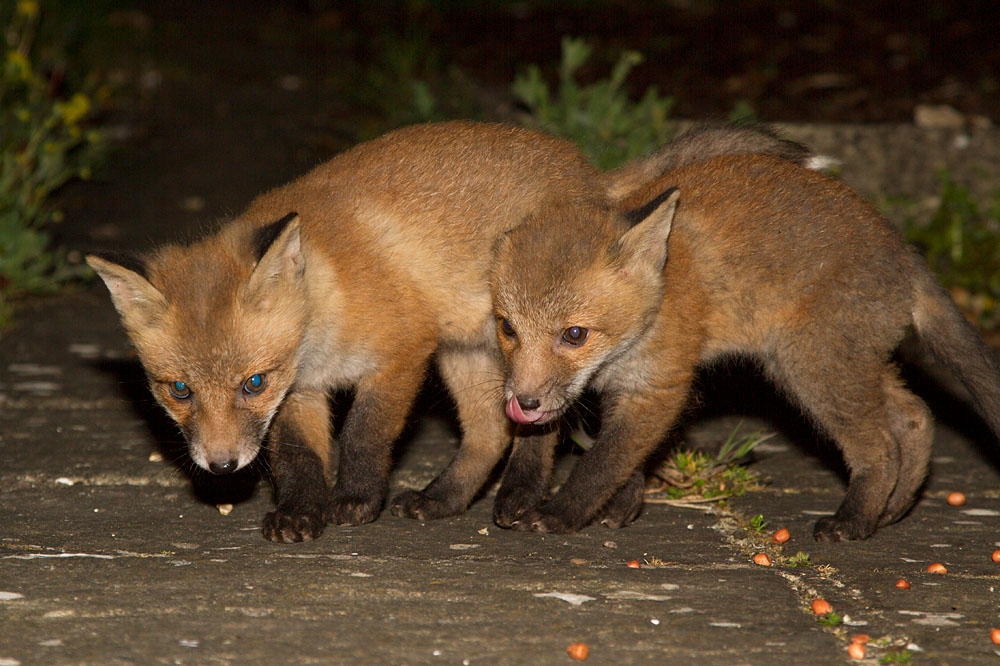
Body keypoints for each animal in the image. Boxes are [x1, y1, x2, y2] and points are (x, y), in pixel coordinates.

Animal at [86, 121, 816, 543]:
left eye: (250, 382)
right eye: (178, 390)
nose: (221, 465)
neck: (328, 298)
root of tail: (592, 180)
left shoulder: (400, 354)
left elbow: (365, 436)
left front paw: (355, 499)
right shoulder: (301, 392)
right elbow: (297, 458)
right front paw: (302, 511)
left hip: (513, 355)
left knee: (537, 430)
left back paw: (528, 499)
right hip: (471, 356)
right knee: (491, 434)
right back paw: (450, 499)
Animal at [490, 153, 1000, 541]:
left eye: (574, 334)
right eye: (507, 328)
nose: (524, 404)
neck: (658, 299)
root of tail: (905, 252)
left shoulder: (659, 386)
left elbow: (603, 461)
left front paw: (561, 513)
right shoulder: (624, 388)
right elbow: (621, 457)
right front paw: (620, 504)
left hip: (809, 368)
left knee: (881, 446)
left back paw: (853, 521)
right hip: (845, 363)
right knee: (915, 414)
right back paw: (893, 509)